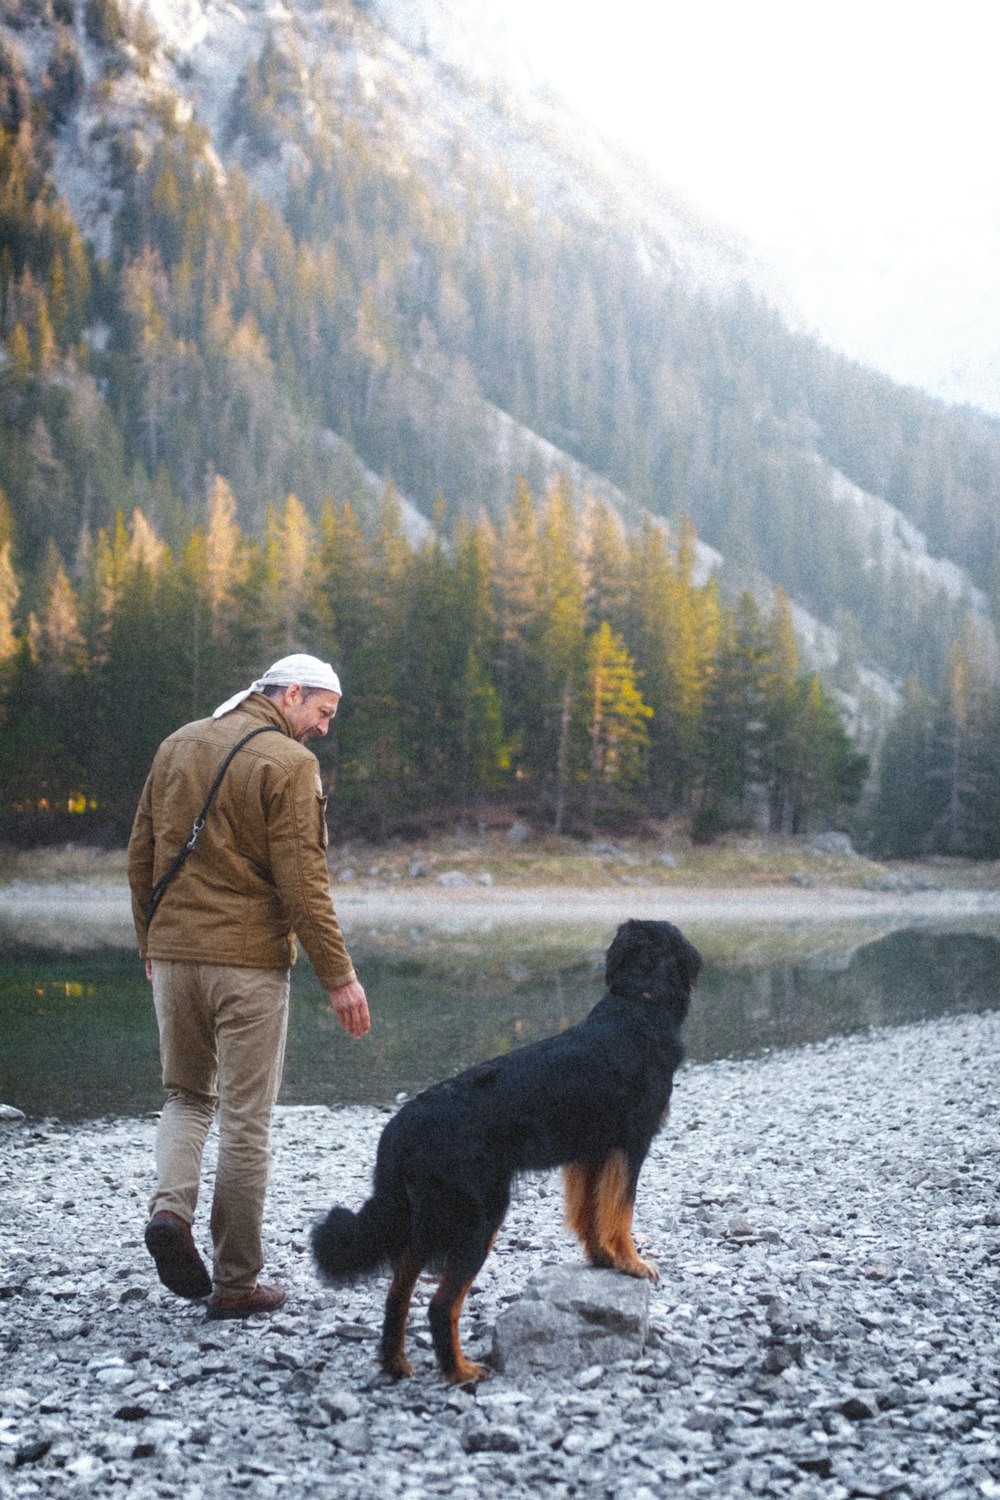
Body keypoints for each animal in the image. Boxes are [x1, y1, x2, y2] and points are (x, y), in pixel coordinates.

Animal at [313, 912, 704, 1380]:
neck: (639, 1004)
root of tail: (402, 1127)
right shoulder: (630, 1144)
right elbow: (619, 1213)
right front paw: (631, 1263)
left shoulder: (591, 1153)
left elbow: (591, 1213)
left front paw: (602, 1259)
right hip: (477, 1217)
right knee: (441, 1304)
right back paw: (460, 1372)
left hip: (426, 1219)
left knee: (398, 1293)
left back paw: (397, 1364)